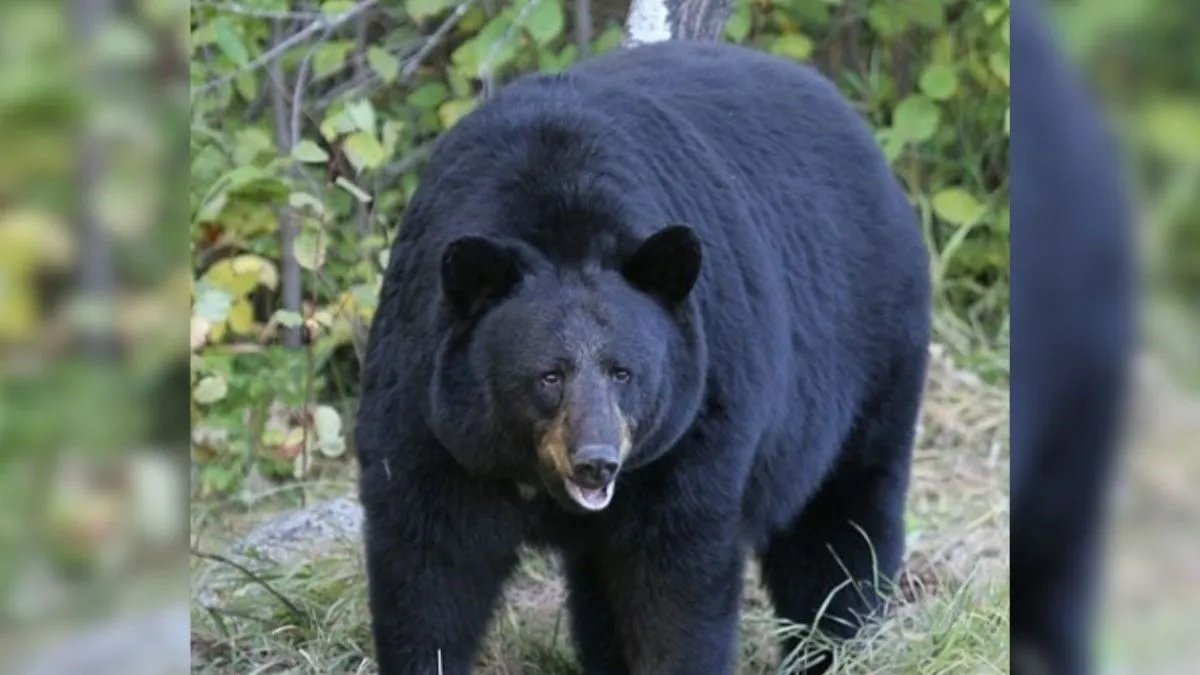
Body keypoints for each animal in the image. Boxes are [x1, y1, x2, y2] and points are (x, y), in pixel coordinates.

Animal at [354, 40, 932, 675]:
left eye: (623, 373)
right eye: (548, 375)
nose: (596, 462)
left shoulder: (695, 424)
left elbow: (676, 581)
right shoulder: (429, 415)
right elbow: (428, 568)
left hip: (871, 356)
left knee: (839, 526)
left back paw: (836, 646)